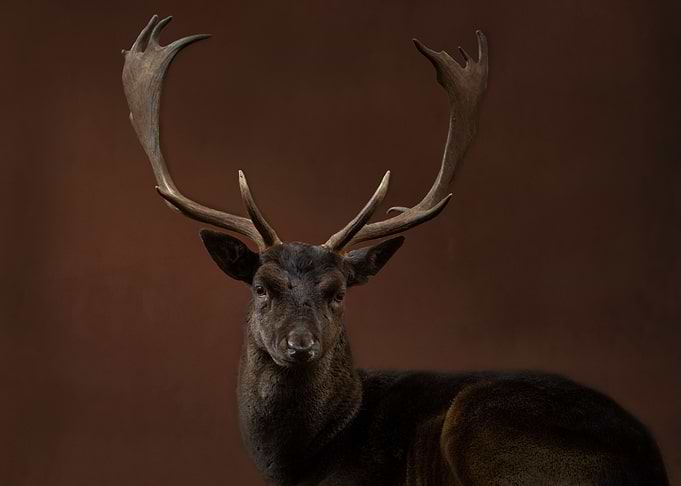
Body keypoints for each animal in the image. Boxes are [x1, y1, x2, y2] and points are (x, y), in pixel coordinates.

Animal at [121, 15, 669, 486]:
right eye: (261, 287)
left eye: (338, 292)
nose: (301, 344)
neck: (305, 457)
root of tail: (653, 466)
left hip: (481, 421)